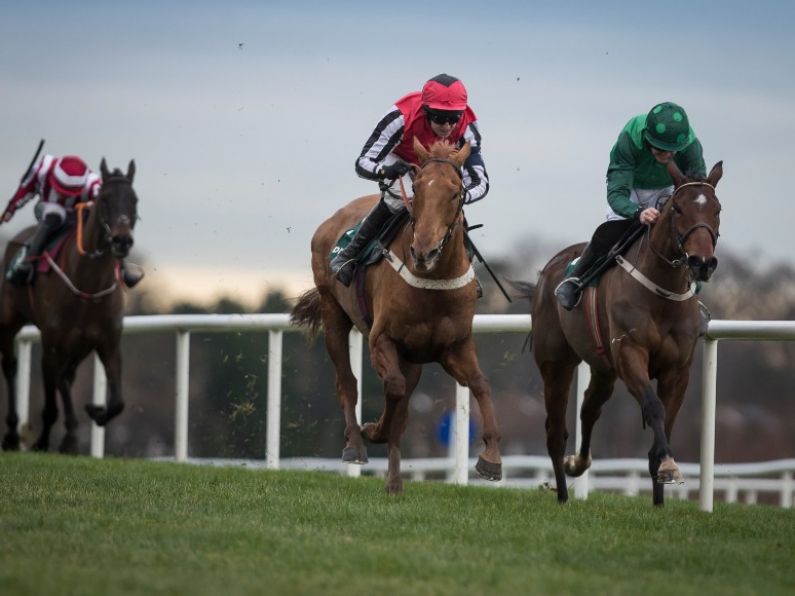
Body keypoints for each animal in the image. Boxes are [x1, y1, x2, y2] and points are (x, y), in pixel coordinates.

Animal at [0, 158, 139, 452]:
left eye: (135, 200)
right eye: (105, 200)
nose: (122, 240)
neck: (89, 287)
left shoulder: (108, 342)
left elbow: (118, 402)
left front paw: (95, 412)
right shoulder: (54, 342)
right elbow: (56, 386)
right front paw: (64, 438)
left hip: (79, 346)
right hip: (9, 323)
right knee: (11, 367)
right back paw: (12, 433)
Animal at [292, 140, 504, 494]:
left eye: (456, 192)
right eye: (416, 188)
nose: (424, 251)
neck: (433, 281)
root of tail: (332, 220)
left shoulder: (454, 347)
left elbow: (481, 384)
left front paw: (492, 459)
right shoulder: (382, 339)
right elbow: (392, 389)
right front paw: (373, 430)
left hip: (412, 357)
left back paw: (393, 479)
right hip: (333, 312)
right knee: (347, 382)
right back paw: (356, 445)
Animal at [528, 161, 720, 506]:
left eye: (717, 209)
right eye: (678, 209)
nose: (702, 263)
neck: (662, 293)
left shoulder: (678, 369)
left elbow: (665, 422)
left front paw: (660, 493)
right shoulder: (630, 353)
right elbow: (654, 407)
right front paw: (669, 467)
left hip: (603, 368)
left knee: (589, 408)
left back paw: (578, 463)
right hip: (556, 363)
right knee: (555, 430)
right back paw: (563, 493)